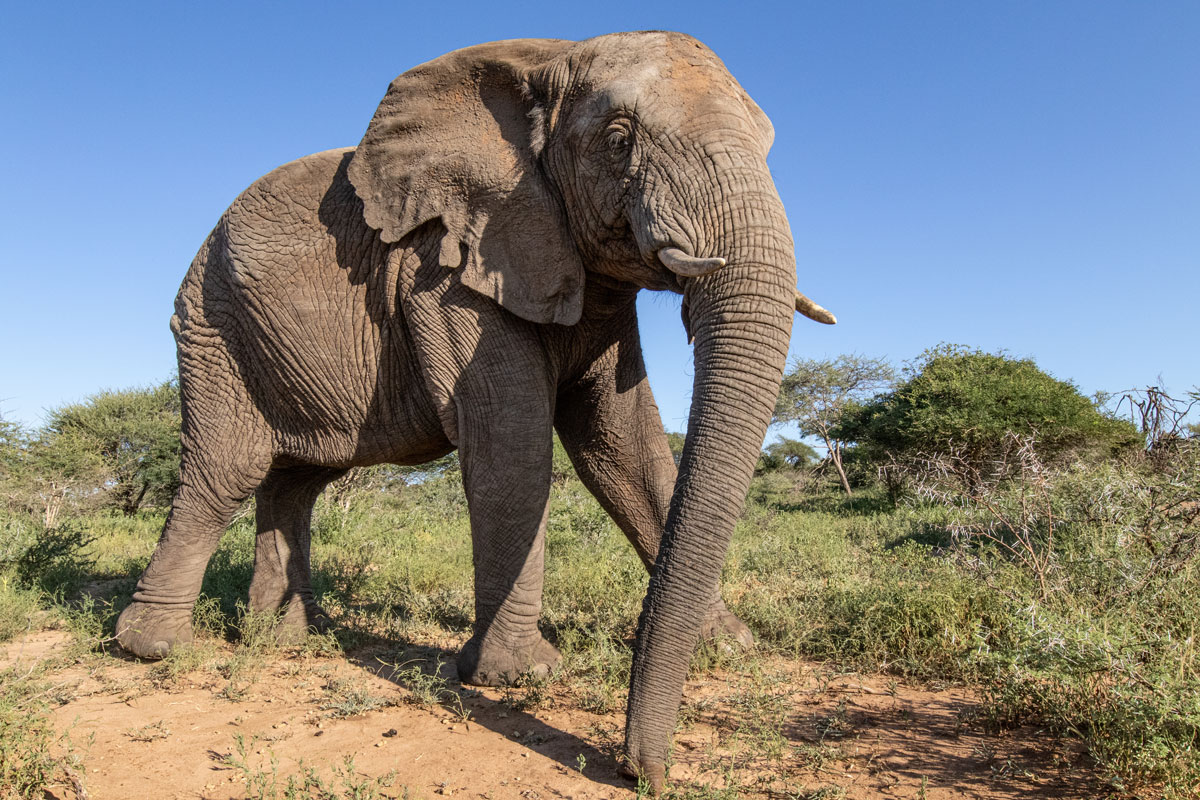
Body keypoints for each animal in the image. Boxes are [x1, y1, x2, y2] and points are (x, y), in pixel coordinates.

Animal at [115, 31, 835, 791]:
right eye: (618, 140)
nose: (642, 773)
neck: (548, 59)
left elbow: (624, 449)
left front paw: (732, 646)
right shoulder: (447, 271)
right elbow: (513, 441)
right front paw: (517, 676)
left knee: (298, 480)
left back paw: (286, 636)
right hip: (212, 326)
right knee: (225, 473)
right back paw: (155, 647)